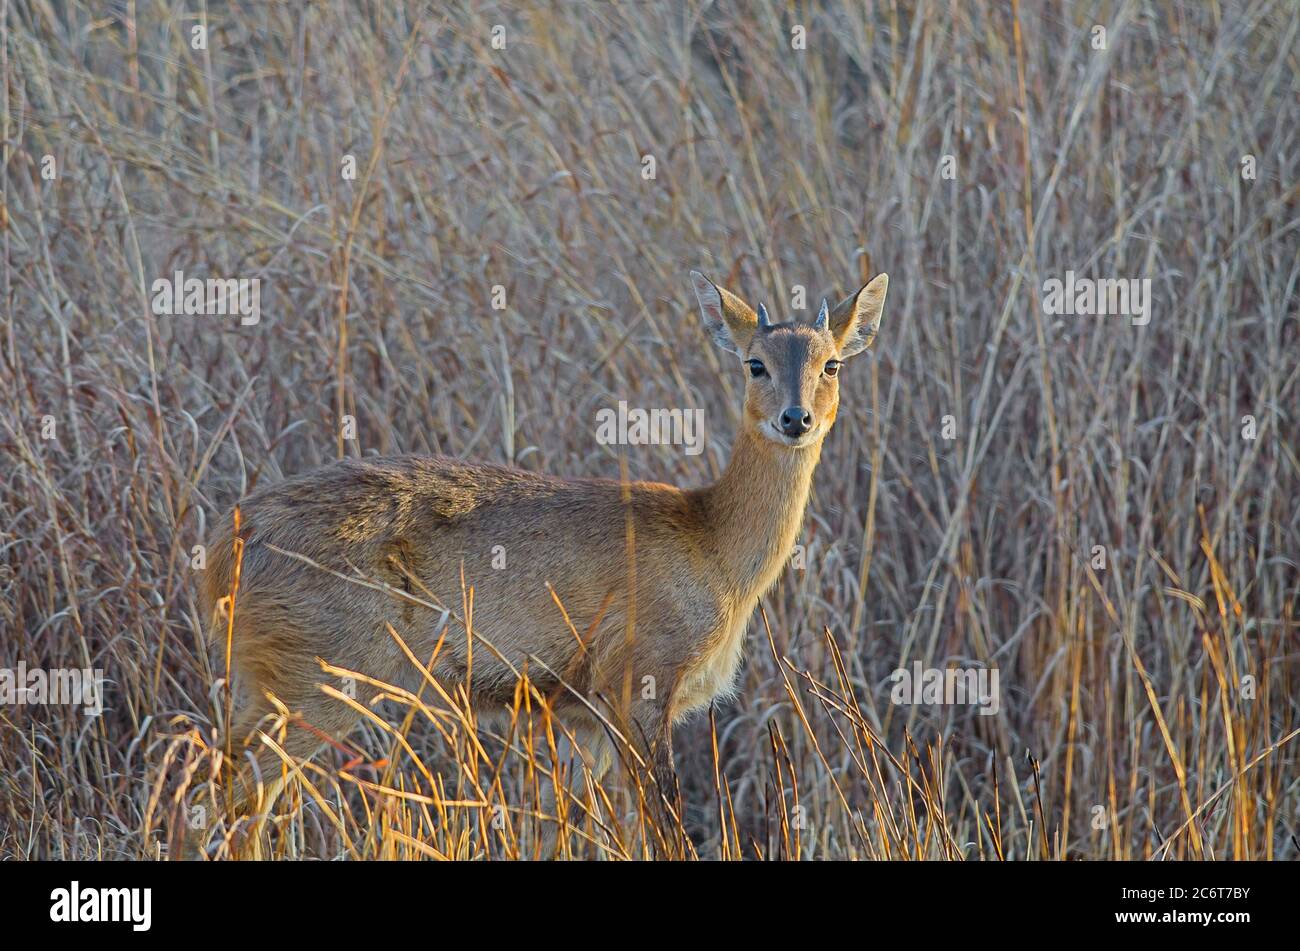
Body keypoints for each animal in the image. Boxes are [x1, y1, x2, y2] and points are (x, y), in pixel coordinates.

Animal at [197, 267, 889, 852]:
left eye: (831, 363)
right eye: (755, 364)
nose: (795, 419)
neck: (714, 547)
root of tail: (225, 548)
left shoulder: (579, 717)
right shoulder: (637, 683)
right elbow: (665, 829)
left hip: (268, 682)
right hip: (312, 678)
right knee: (229, 789)